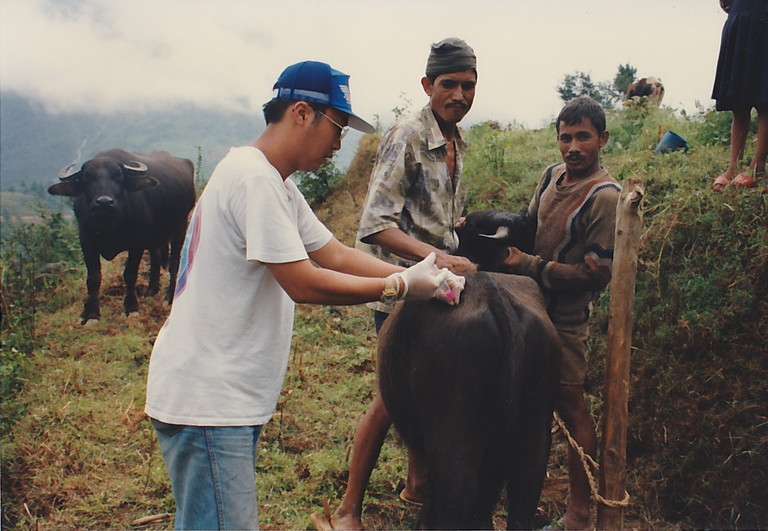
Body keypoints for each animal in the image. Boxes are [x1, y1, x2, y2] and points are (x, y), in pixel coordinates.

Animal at [48, 149, 196, 324]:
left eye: (118, 175)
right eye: (87, 177)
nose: (104, 202)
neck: (109, 224)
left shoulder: (137, 243)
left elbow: (130, 274)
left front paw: (131, 308)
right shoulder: (86, 241)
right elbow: (93, 277)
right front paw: (90, 314)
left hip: (180, 225)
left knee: (174, 262)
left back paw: (169, 297)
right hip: (155, 235)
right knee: (156, 257)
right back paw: (150, 292)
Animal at [376, 210, 560, 528]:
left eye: (470, 225)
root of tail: (494, 296)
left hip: (453, 436)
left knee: (456, 498)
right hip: (534, 434)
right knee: (521, 500)